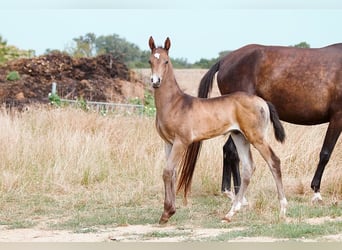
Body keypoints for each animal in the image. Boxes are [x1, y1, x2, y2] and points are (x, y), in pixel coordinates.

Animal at [148, 35, 288, 225]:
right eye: (150, 61)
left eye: (166, 61)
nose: (155, 81)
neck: (174, 103)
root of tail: (263, 102)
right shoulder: (168, 142)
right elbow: (172, 172)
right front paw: (169, 211)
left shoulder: (181, 141)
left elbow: (168, 171)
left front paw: (167, 213)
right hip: (239, 136)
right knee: (248, 168)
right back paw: (230, 213)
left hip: (256, 137)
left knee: (274, 161)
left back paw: (282, 210)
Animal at [198, 43, 342, 203]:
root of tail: (224, 61)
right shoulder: (338, 117)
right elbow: (325, 153)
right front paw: (316, 192)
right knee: (231, 151)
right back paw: (238, 194)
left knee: (229, 150)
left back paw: (230, 191)